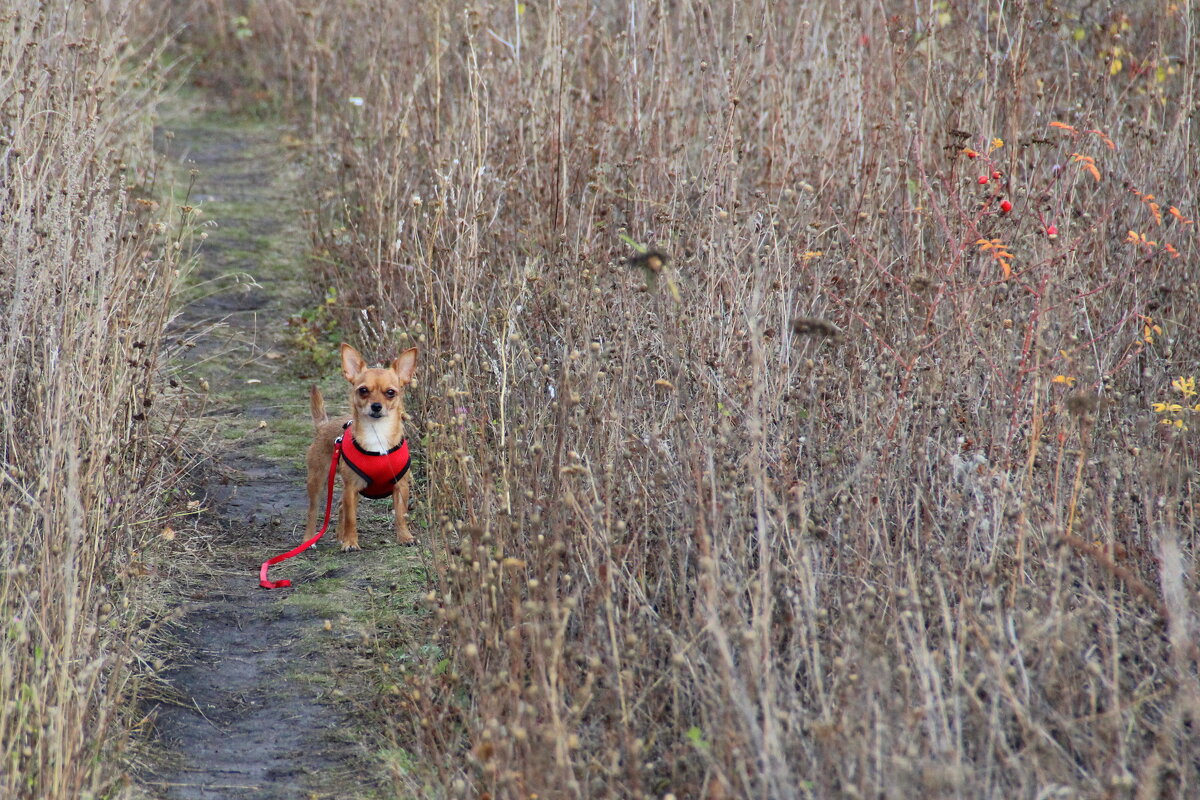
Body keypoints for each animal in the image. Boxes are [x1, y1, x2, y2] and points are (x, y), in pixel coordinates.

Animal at [307, 340, 420, 554]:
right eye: (363, 390)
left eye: (390, 393)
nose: (376, 406)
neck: (377, 436)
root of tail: (323, 425)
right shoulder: (351, 488)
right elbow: (352, 519)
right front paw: (351, 542)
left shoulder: (400, 487)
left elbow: (400, 515)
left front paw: (405, 537)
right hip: (318, 481)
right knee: (313, 512)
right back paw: (310, 540)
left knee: (340, 506)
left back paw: (339, 536)